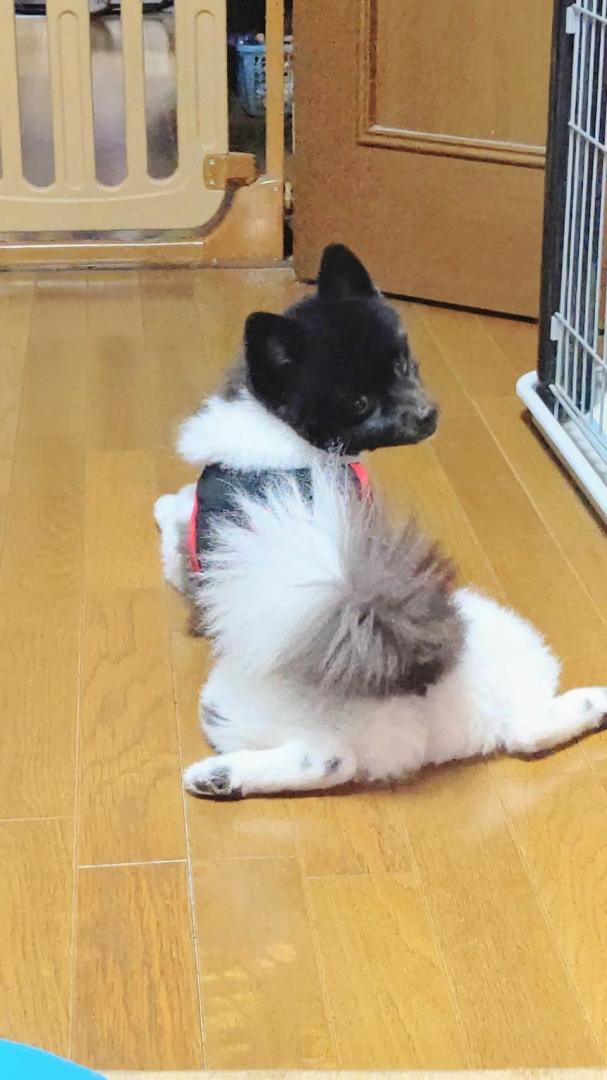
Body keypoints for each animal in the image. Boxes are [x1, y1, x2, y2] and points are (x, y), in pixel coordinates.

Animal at [154, 243, 607, 799]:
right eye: (359, 404)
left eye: (404, 364)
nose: (428, 414)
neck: (280, 427)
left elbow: (174, 523)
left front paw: (160, 509)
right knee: (340, 758)